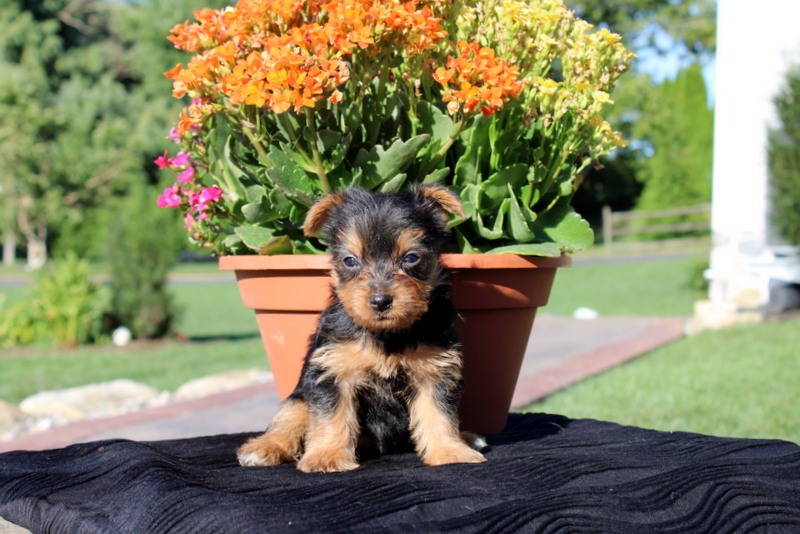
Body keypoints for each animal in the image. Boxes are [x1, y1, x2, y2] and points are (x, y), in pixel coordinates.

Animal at [236, 185, 488, 474]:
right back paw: (265, 448)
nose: (380, 301)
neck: (386, 334)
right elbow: (332, 417)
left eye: (411, 257)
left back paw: (467, 438)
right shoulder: (334, 371)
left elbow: (438, 413)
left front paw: (450, 451)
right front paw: (327, 456)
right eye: (350, 260)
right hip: (300, 398)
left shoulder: (434, 372)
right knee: (289, 418)